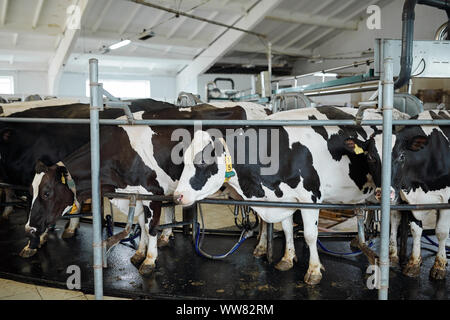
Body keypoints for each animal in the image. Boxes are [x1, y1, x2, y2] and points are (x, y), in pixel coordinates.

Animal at [22, 102, 268, 276]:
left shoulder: (153, 193)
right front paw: (139, 253)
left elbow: (150, 227)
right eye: (31, 192)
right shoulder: (135, 193)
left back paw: (263, 248)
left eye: (46, 192)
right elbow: (140, 223)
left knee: (266, 218)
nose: (29, 227)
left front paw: (149, 260)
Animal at [174, 107, 410, 284]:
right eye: (183, 160)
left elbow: (310, 235)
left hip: (396, 189)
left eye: (202, 161)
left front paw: (313, 271)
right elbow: (287, 229)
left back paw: (395, 256)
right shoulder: (284, 199)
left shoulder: (311, 198)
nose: (177, 196)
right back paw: (360, 241)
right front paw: (287, 258)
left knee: (396, 217)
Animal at [388, 110, 448, 280]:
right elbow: (415, 229)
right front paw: (414, 263)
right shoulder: (410, 200)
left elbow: (441, 231)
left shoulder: (447, 198)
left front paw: (439, 266)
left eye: (402, 156)